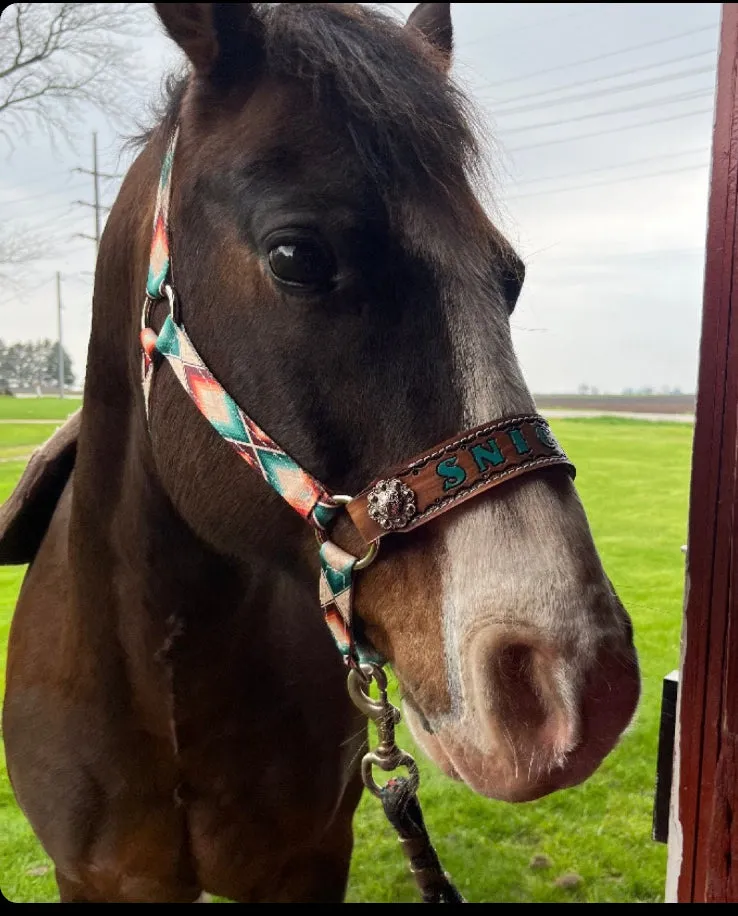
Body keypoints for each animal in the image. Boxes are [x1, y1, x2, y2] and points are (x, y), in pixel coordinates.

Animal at [0, 3, 640, 904]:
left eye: (508, 281)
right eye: (297, 256)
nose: (577, 681)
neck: (169, 676)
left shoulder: (307, 863)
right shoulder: (93, 879)